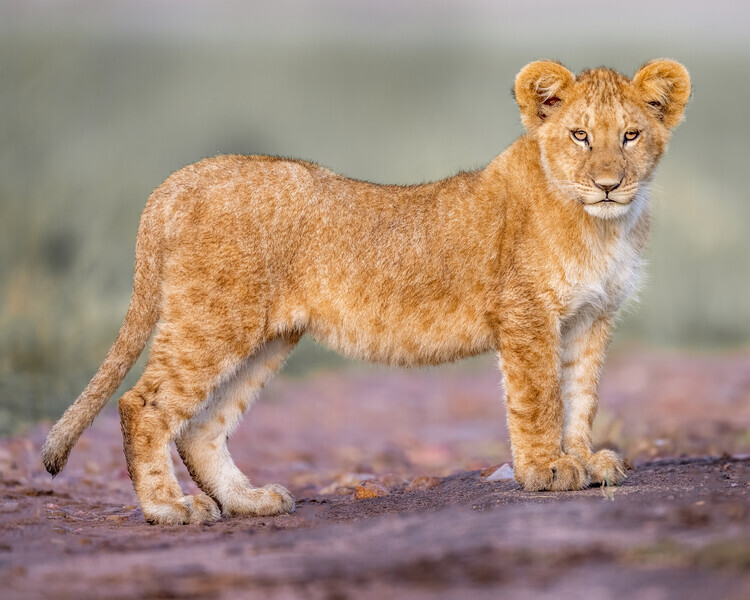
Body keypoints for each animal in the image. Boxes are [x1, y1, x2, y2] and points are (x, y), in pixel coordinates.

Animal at [42, 59, 690, 524]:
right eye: (579, 135)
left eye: (631, 136)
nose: (608, 185)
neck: (602, 227)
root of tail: (175, 183)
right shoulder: (526, 315)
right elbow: (538, 399)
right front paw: (545, 472)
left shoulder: (590, 319)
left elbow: (581, 396)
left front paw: (583, 460)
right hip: (213, 319)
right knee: (143, 405)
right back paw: (168, 508)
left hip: (266, 336)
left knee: (202, 426)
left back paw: (248, 501)